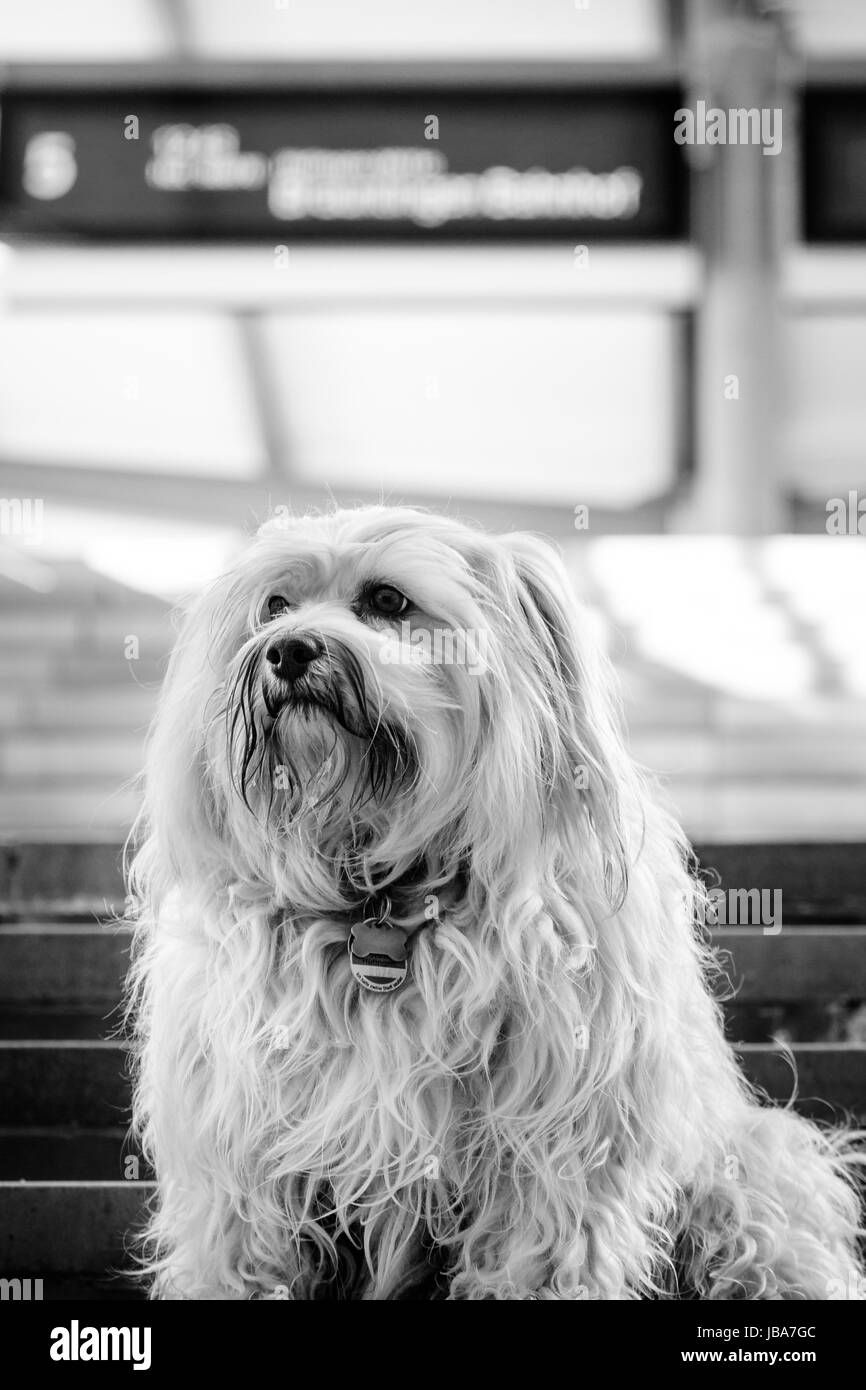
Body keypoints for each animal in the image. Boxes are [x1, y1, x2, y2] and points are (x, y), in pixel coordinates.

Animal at [125, 508, 861, 1301]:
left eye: (387, 600)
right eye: (274, 606)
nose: (287, 649)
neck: (381, 898)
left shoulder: (554, 1156)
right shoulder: (240, 1155)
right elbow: (240, 1246)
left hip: (751, 1167)